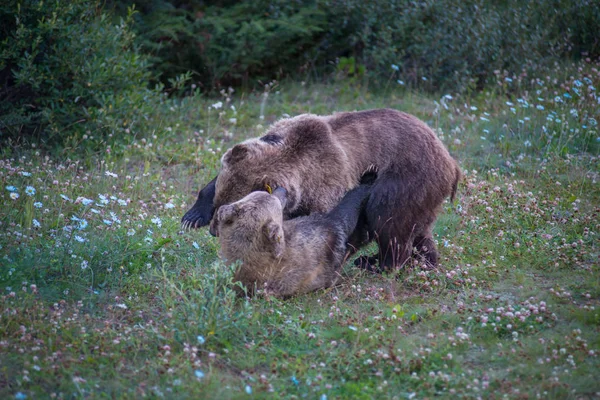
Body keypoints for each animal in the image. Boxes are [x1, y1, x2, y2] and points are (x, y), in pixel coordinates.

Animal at [183, 108, 460, 272]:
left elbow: (343, 226)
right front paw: (192, 216)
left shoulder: (329, 185)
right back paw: (425, 259)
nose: (213, 231)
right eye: (219, 204)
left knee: (389, 220)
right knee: (419, 229)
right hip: (424, 195)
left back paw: (377, 263)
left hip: (406, 178)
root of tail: (451, 161)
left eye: (235, 211)